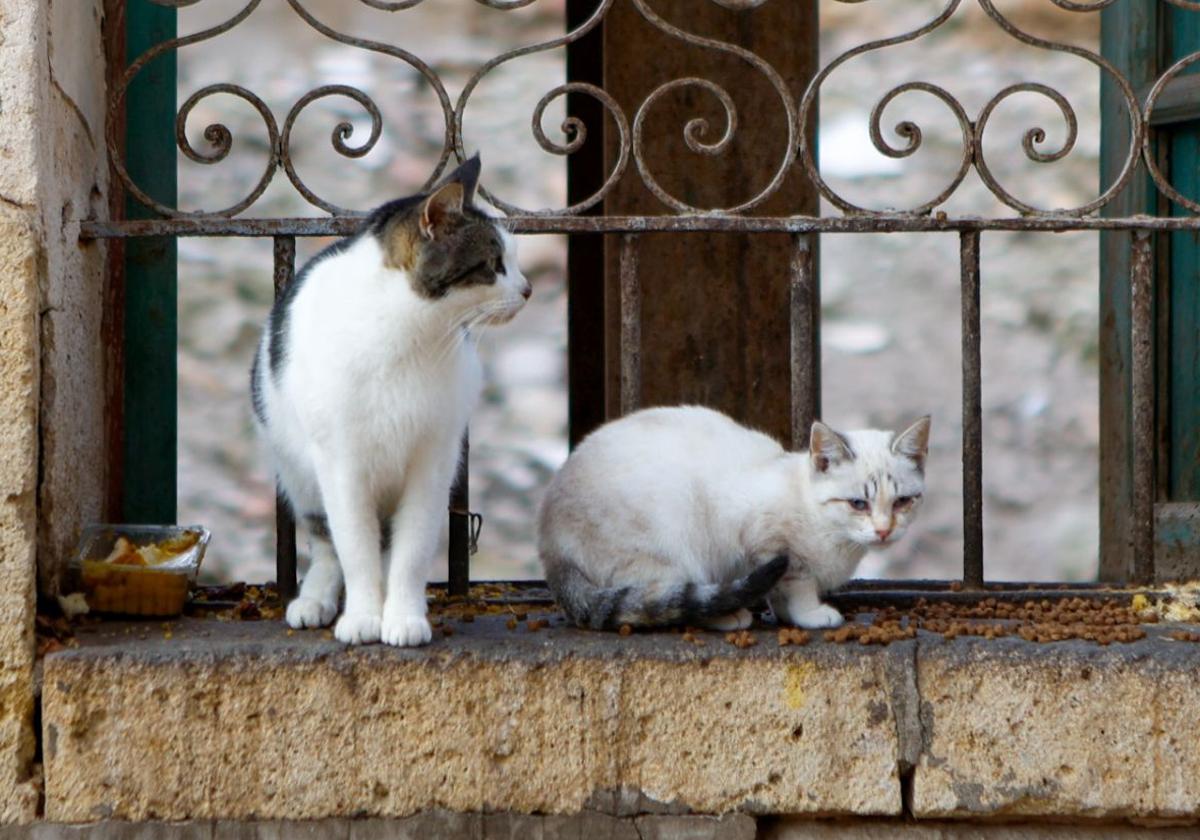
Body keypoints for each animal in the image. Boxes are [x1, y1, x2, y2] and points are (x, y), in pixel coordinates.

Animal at [250, 154, 528, 648]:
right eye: (495, 264)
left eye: (510, 261)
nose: (528, 288)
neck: (408, 332)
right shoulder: (342, 464)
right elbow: (354, 548)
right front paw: (363, 616)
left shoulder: (433, 460)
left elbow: (411, 549)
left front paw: (402, 616)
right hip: (299, 472)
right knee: (328, 542)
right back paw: (315, 600)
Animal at [540, 405, 931, 628]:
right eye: (858, 504)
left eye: (902, 502)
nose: (884, 531)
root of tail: (550, 544)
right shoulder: (767, 541)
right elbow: (796, 583)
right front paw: (811, 615)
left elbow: (780, 594)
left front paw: (787, 616)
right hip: (673, 542)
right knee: (664, 598)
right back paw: (727, 616)